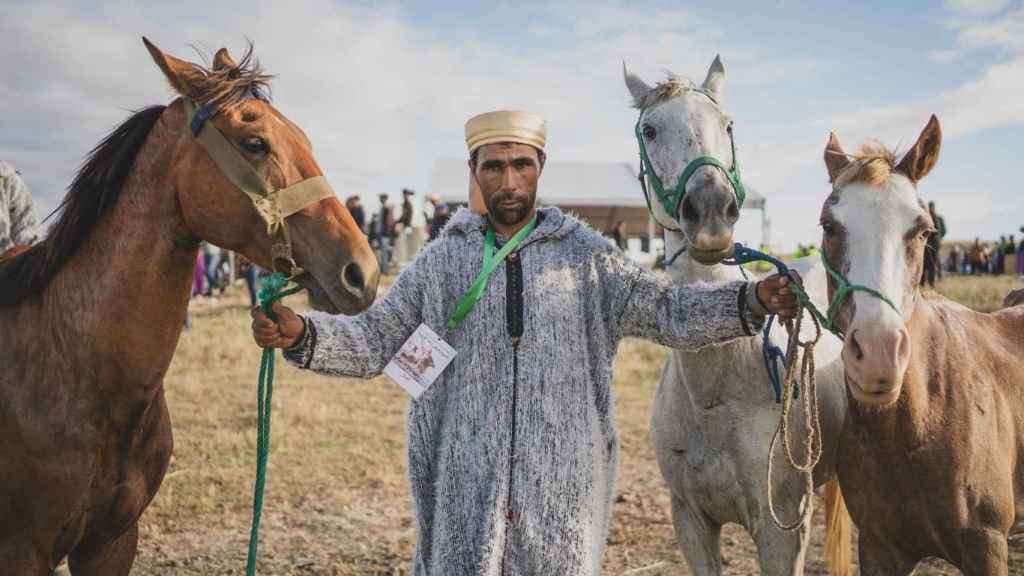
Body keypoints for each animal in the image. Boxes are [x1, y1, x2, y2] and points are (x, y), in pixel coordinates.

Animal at [623, 56, 850, 575]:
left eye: (727, 124)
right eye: (649, 129)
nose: (710, 210)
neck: (717, 385)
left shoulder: (782, 528)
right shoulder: (690, 521)